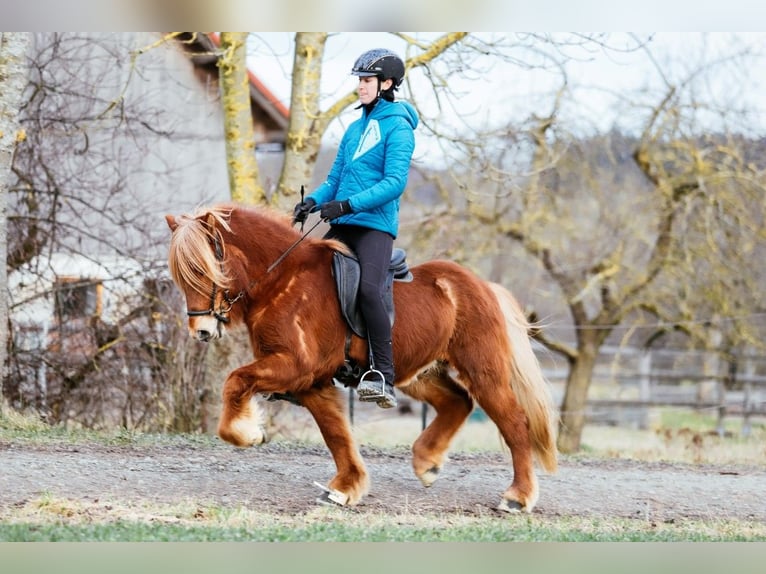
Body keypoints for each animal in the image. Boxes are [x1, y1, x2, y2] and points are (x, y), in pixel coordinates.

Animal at [166, 205, 560, 516]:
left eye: (202, 270)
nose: (201, 331)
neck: (281, 282)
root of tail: (482, 287)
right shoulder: (310, 382)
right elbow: (336, 434)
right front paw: (344, 488)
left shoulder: (294, 367)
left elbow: (235, 381)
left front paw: (247, 434)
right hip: (416, 374)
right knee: (457, 402)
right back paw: (427, 462)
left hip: (483, 371)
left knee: (514, 422)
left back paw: (517, 497)